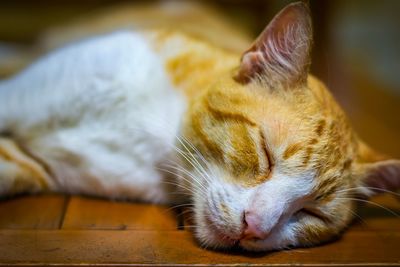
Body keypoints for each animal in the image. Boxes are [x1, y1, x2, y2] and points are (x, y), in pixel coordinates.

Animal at [0, 2, 400, 252]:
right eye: (265, 153)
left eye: (312, 213)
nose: (254, 226)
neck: (153, 133)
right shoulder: (19, 95)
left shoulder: (37, 166)